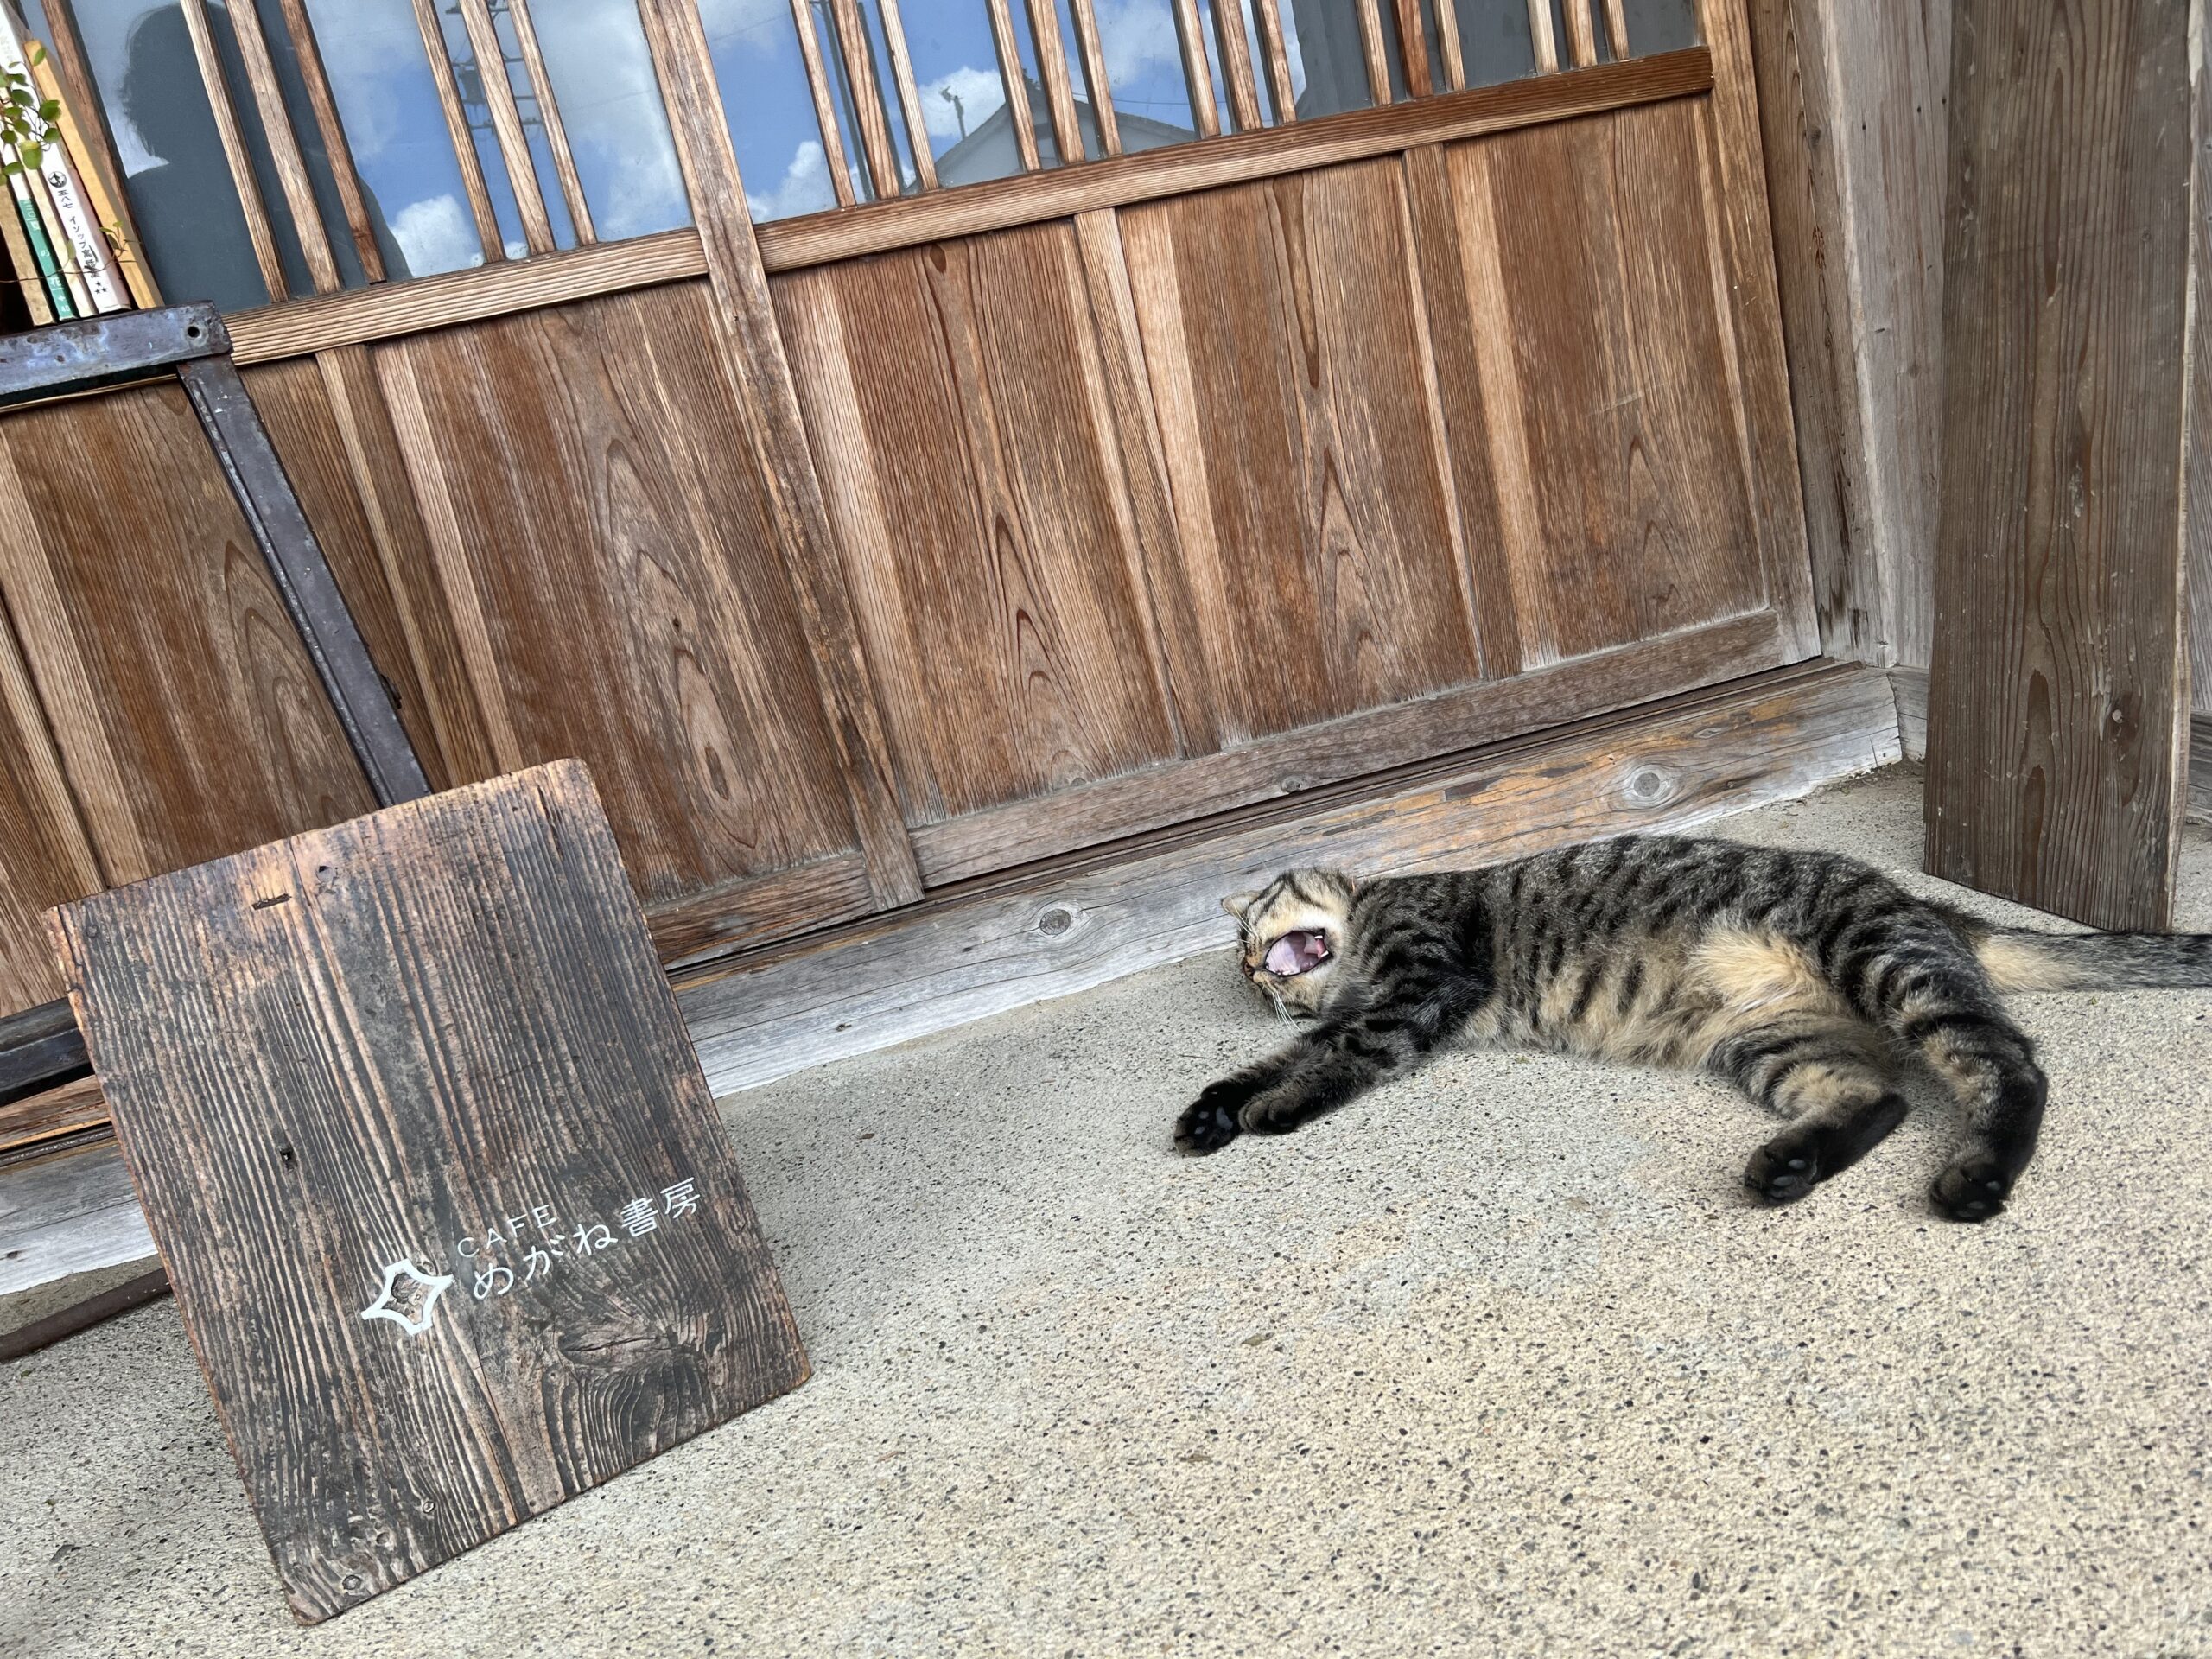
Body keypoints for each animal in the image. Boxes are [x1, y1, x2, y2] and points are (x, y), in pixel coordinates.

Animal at [1177, 837, 2212, 1220]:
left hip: (1886, 966)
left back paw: (1978, 1177)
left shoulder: (1418, 985)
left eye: (1251, 925)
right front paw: (1216, 1108)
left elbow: (1334, 1057)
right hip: (1770, 1042)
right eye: (1244, 968)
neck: (1364, 932)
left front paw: (1270, 1112)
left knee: (2010, 1064)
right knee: (1877, 1099)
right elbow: (1286, 1054)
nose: (1250, 967)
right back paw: (1788, 1167)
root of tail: (1931, 908)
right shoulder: (1373, 1005)